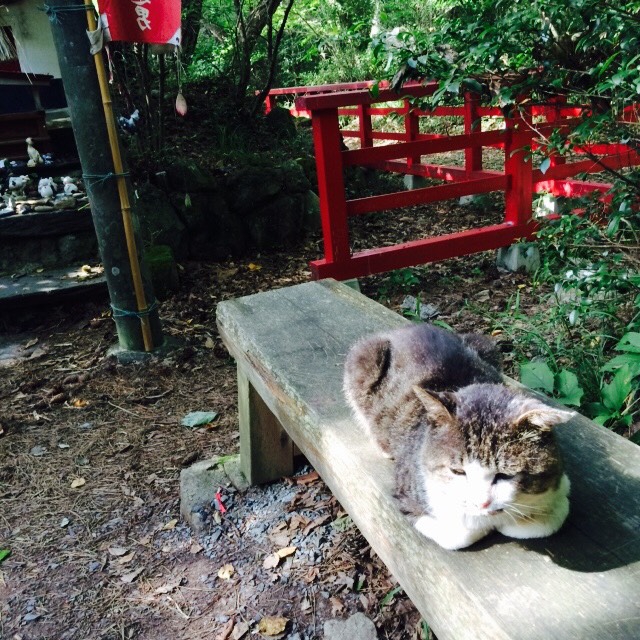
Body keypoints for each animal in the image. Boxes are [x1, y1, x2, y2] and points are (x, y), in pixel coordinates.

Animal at [344, 324, 576, 552]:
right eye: (457, 471)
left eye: (505, 475)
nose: (482, 503)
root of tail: (404, 328)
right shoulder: (409, 491)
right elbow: (459, 533)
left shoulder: (558, 480)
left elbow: (555, 514)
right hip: (364, 359)